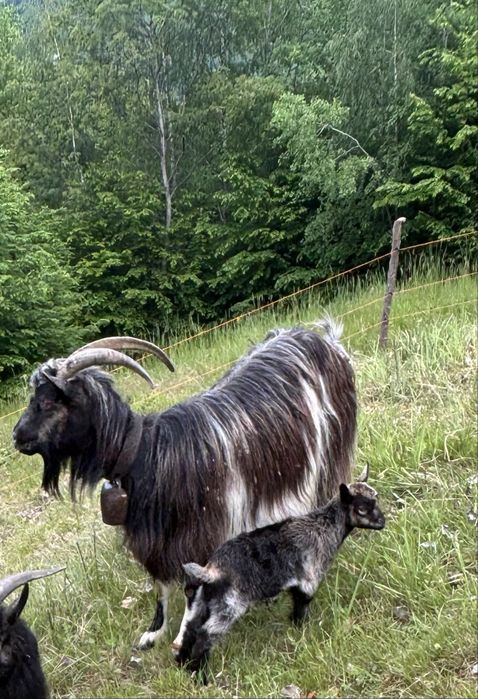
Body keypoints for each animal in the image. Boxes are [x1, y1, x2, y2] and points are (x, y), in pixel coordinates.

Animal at [12, 321, 357, 651]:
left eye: (47, 402)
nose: (17, 437)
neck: (148, 454)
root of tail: (324, 338)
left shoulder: (198, 534)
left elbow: (193, 588)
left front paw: (182, 636)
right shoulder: (156, 540)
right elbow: (160, 587)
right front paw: (152, 634)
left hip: (328, 454)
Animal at [176, 472, 385, 680]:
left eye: (376, 499)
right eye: (362, 508)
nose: (382, 522)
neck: (325, 525)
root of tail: (212, 570)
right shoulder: (309, 579)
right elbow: (301, 606)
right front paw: (302, 630)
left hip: (204, 602)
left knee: (191, 628)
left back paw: (183, 664)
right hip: (229, 606)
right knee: (205, 635)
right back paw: (200, 675)